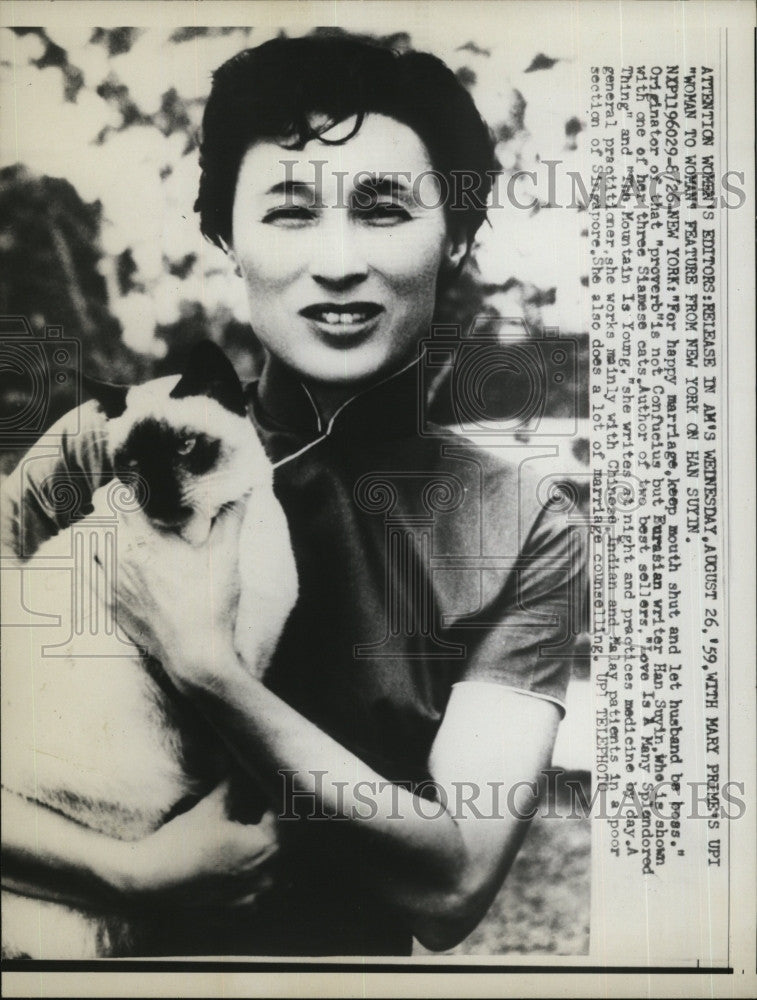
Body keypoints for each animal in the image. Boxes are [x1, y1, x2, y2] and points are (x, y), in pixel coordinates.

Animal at [2, 344, 298, 960]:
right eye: (131, 463)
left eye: (185, 448)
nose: (156, 495)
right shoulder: (208, 689)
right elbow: (241, 786)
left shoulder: (252, 673)